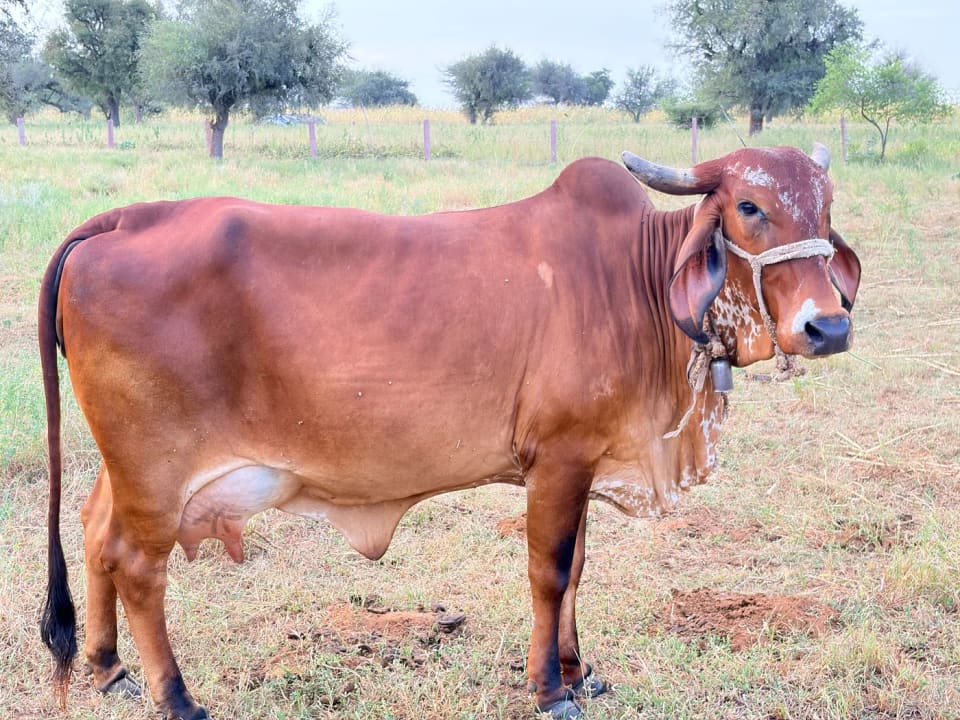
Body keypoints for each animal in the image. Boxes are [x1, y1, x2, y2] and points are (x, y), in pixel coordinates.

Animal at [39, 145, 860, 719]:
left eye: (825, 207)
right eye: (749, 206)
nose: (828, 326)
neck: (636, 280)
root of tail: (119, 220)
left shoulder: (583, 461)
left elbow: (578, 570)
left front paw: (579, 672)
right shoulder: (558, 459)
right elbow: (550, 572)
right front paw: (548, 688)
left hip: (131, 468)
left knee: (96, 530)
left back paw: (108, 668)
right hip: (157, 468)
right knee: (138, 567)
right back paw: (175, 697)